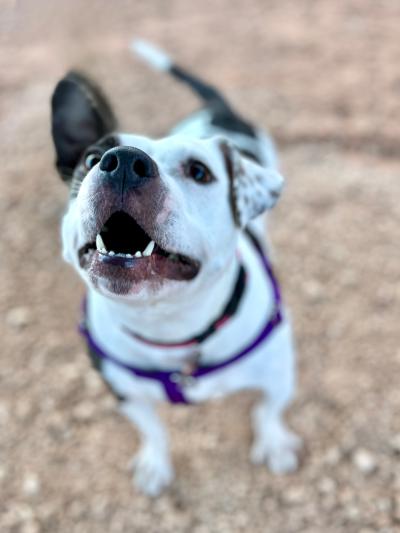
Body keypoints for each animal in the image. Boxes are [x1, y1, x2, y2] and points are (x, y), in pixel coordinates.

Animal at [50, 40, 300, 494]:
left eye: (199, 171)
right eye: (92, 157)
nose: (123, 161)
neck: (168, 324)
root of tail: (219, 108)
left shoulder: (279, 375)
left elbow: (269, 411)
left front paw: (274, 444)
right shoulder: (122, 391)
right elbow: (152, 430)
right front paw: (154, 464)